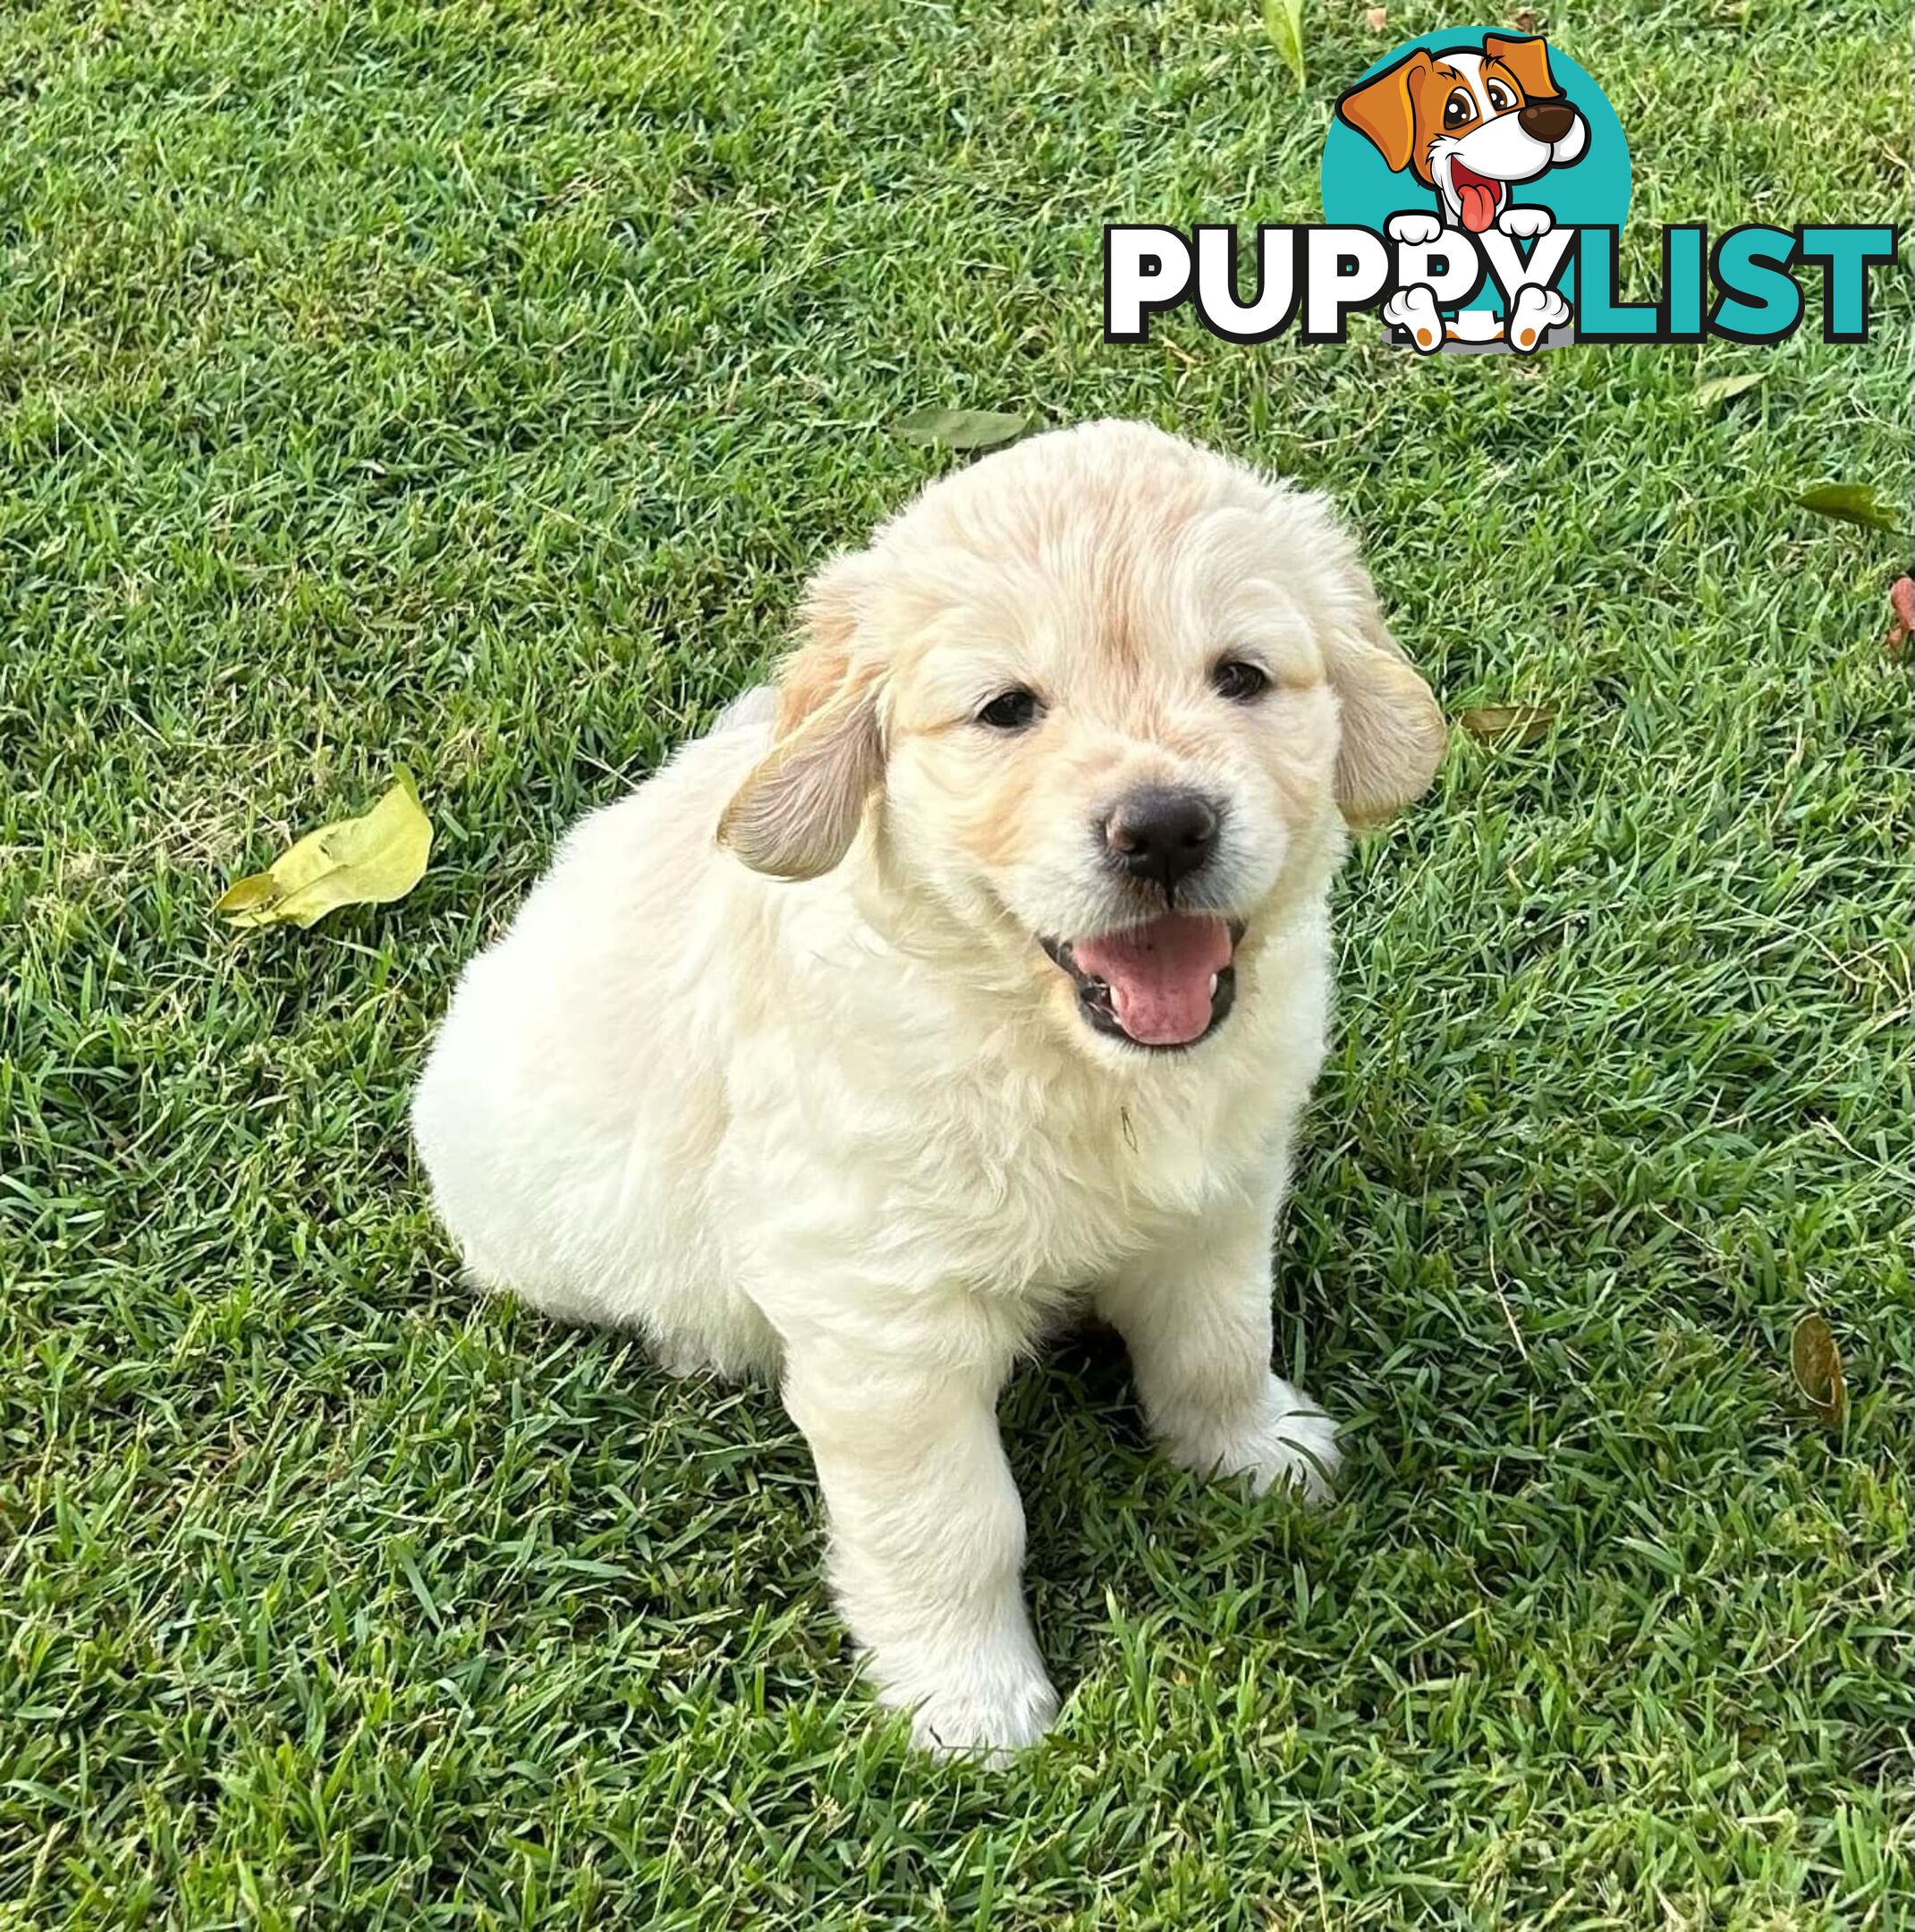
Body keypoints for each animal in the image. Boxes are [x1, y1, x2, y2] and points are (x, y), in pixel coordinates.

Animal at [411, 419, 1445, 1754]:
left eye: (1241, 677)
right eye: (1006, 710)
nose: (1165, 828)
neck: (1062, 1056)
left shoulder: (1220, 1199)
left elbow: (1218, 1341)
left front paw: (1254, 1453)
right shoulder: (882, 1319)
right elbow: (949, 1520)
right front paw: (970, 1701)